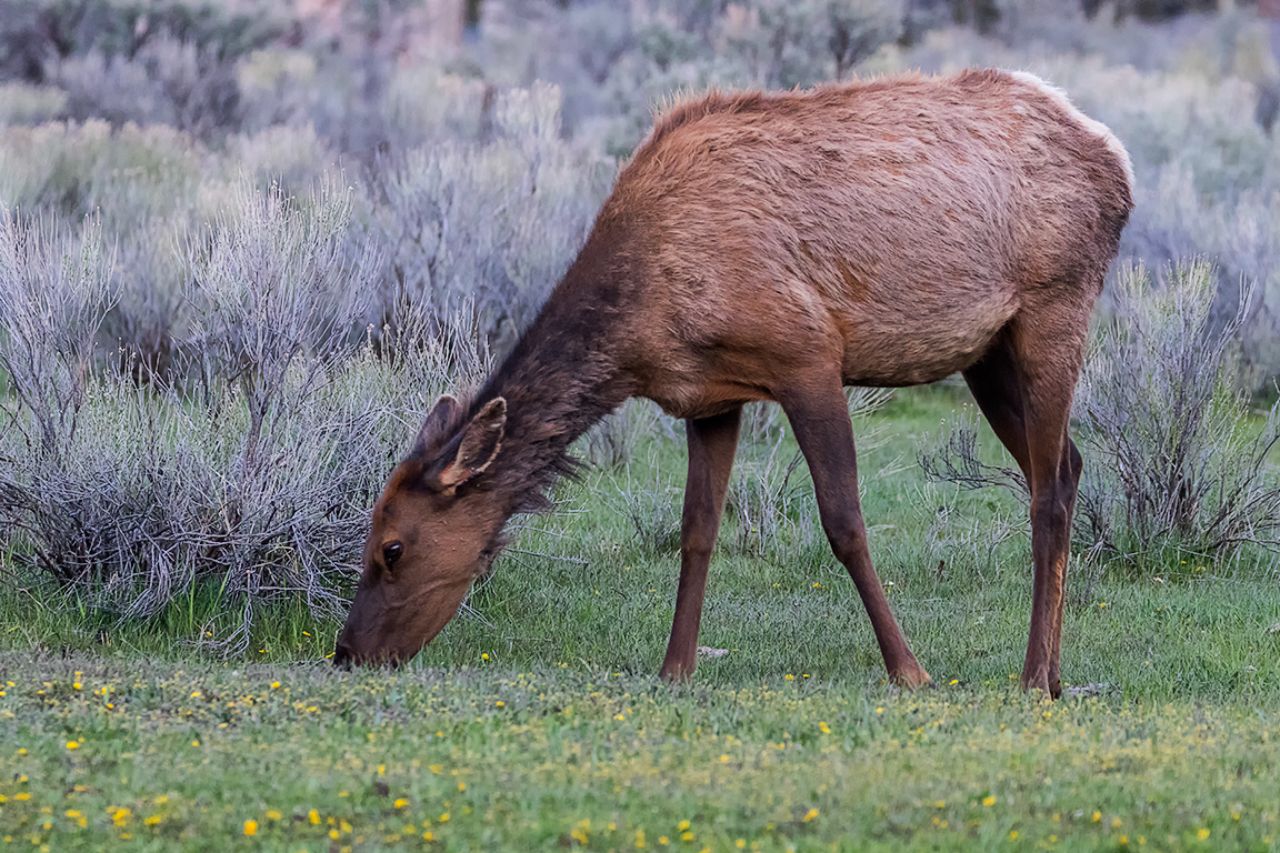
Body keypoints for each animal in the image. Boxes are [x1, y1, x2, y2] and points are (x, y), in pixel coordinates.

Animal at [333, 69, 1134, 698]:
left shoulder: (807, 355)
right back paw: (1056, 672)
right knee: (1067, 464)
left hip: (1055, 305)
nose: (347, 653)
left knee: (1049, 488)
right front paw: (675, 667)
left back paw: (1032, 677)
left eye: (391, 548)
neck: (643, 327)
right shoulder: (709, 397)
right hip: (986, 352)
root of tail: (1116, 158)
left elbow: (845, 522)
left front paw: (908, 669)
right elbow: (697, 530)